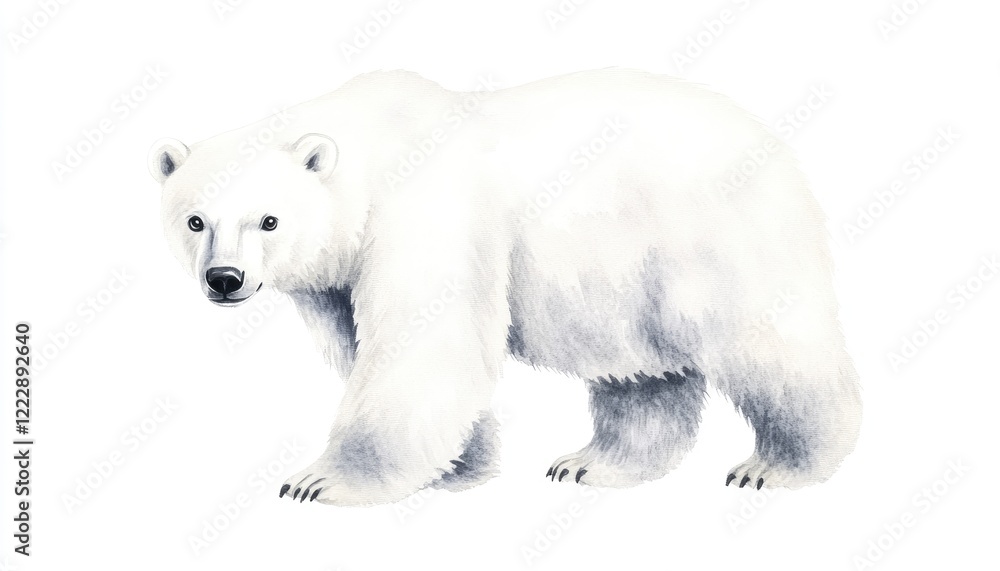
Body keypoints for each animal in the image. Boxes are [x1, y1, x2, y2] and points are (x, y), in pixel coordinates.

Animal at [149, 68, 862, 506]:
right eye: (195, 220)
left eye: (268, 219)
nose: (224, 279)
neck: (372, 155)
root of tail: (775, 143)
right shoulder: (336, 276)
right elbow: (360, 343)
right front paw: (463, 465)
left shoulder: (425, 211)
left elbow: (423, 343)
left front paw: (319, 481)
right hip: (623, 278)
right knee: (640, 372)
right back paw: (594, 461)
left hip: (710, 235)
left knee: (768, 341)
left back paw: (780, 464)